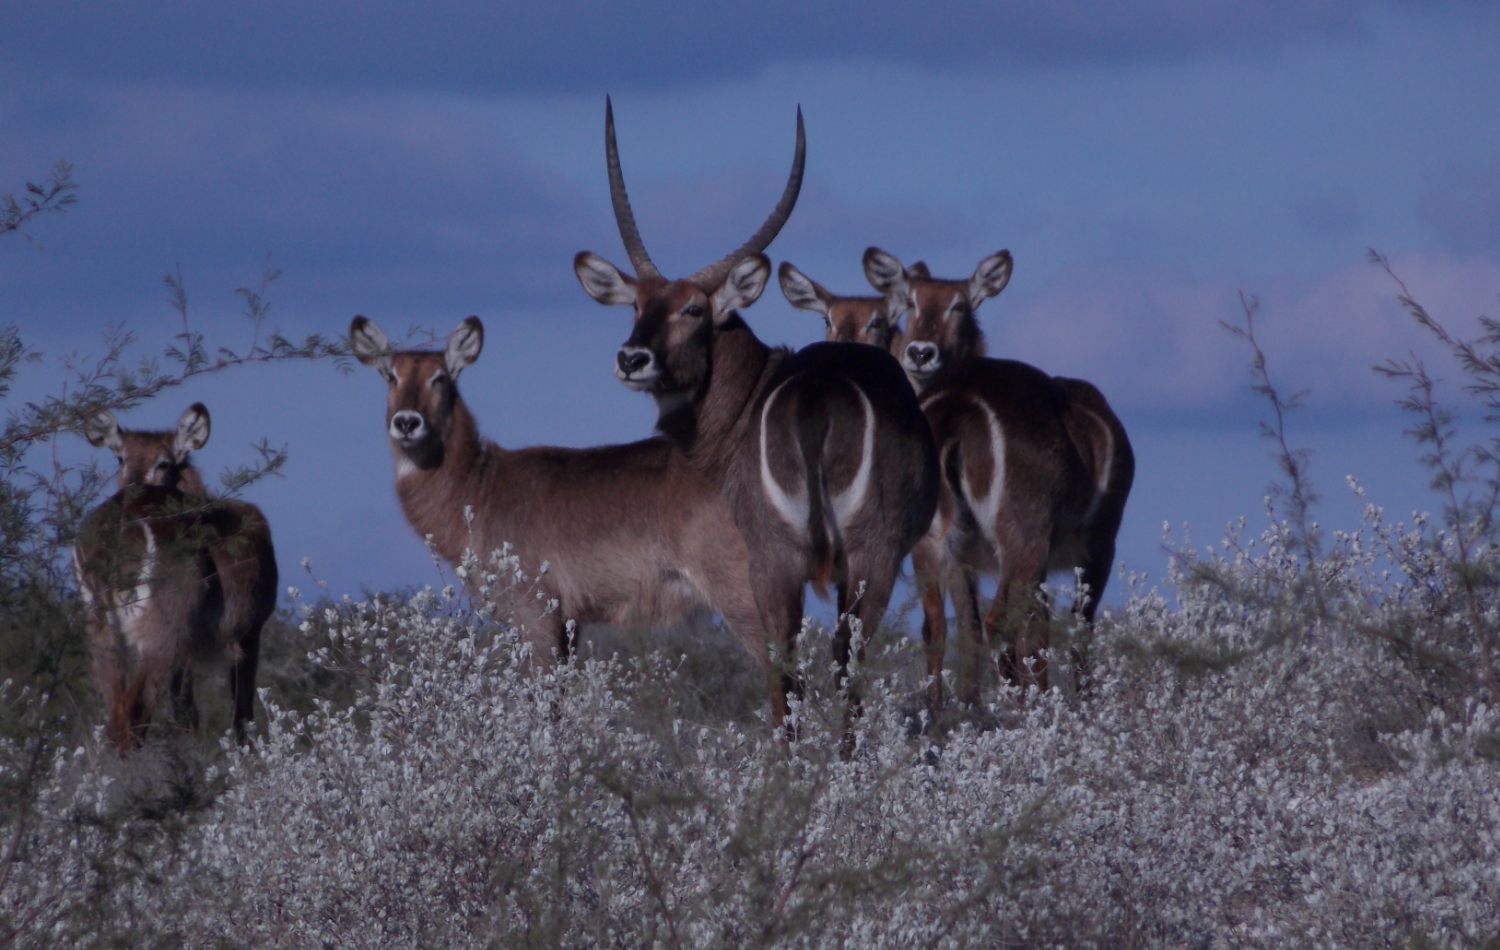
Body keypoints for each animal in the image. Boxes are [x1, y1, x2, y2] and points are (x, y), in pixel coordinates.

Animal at [75, 399, 279, 747]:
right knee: (135, 709)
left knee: (115, 711)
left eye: (163, 463)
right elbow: (242, 716)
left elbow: (186, 714)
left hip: (100, 624)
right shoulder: (249, 630)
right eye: (120, 458)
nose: (133, 485)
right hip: (166, 625)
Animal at [346, 315, 774, 684]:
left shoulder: (534, 609)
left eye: (440, 378)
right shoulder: (569, 621)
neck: (478, 486)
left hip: (743, 593)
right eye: (391, 376)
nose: (407, 422)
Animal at [573, 102, 936, 732]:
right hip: (847, 557)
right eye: (637, 304)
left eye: (694, 309)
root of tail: (817, 398)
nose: (632, 358)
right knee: (826, 665)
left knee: (801, 667)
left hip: (798, 559)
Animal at [852, 247, 1128, 708]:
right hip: (1027, 536)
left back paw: (951, 715)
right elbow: (1059, 632)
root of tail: (958, 406)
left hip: (936, 542)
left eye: (959, 304)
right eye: (910, 301)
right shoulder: (1095, 547)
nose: (920, 352)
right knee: (1007, 622)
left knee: (942, 627)